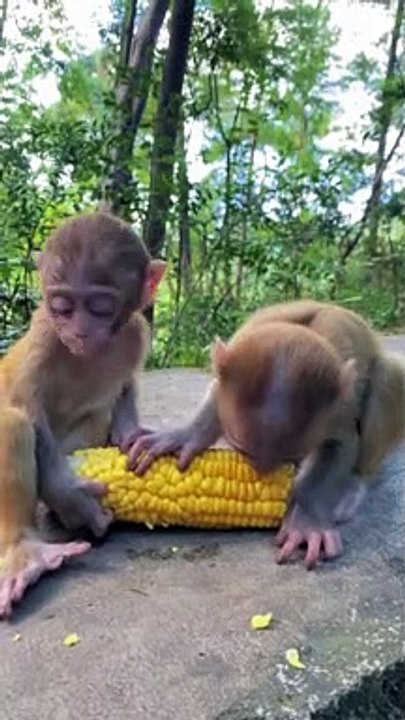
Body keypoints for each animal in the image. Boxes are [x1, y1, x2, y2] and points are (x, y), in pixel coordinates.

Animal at [0, 211, 166, 617]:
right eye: (61, 305)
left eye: (101, 306)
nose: (79, 331)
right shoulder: (45, 331)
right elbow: (26, 402)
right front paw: (71, 497)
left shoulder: (137, 330)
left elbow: (124, 387)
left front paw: (129, 436)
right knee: (14, 423)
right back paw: (24, 553)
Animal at [129, 300, 405, 569]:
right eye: (242, 448)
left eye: (291, 455)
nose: (262, 474)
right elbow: (216, 396)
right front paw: (185, 436)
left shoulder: (339, 409)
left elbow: (342, 446)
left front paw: (307, 519)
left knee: (386, 377)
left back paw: (352, 487)